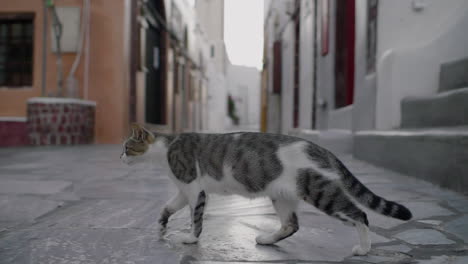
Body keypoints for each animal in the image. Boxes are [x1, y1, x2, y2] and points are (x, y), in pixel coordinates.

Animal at [119, 124, 412, 256]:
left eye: (126, 147)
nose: (119, 157)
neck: (166, 148)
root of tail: (321, 149)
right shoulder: (183, 191)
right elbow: (166, 208)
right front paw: (161, 226)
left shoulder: (194, 189)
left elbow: (196, 218)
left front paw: (191, 239)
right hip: (282, 196)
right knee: (291, 225)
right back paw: (268, 239)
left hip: (320, 191)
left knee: (360, 214)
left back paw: (364, 248)